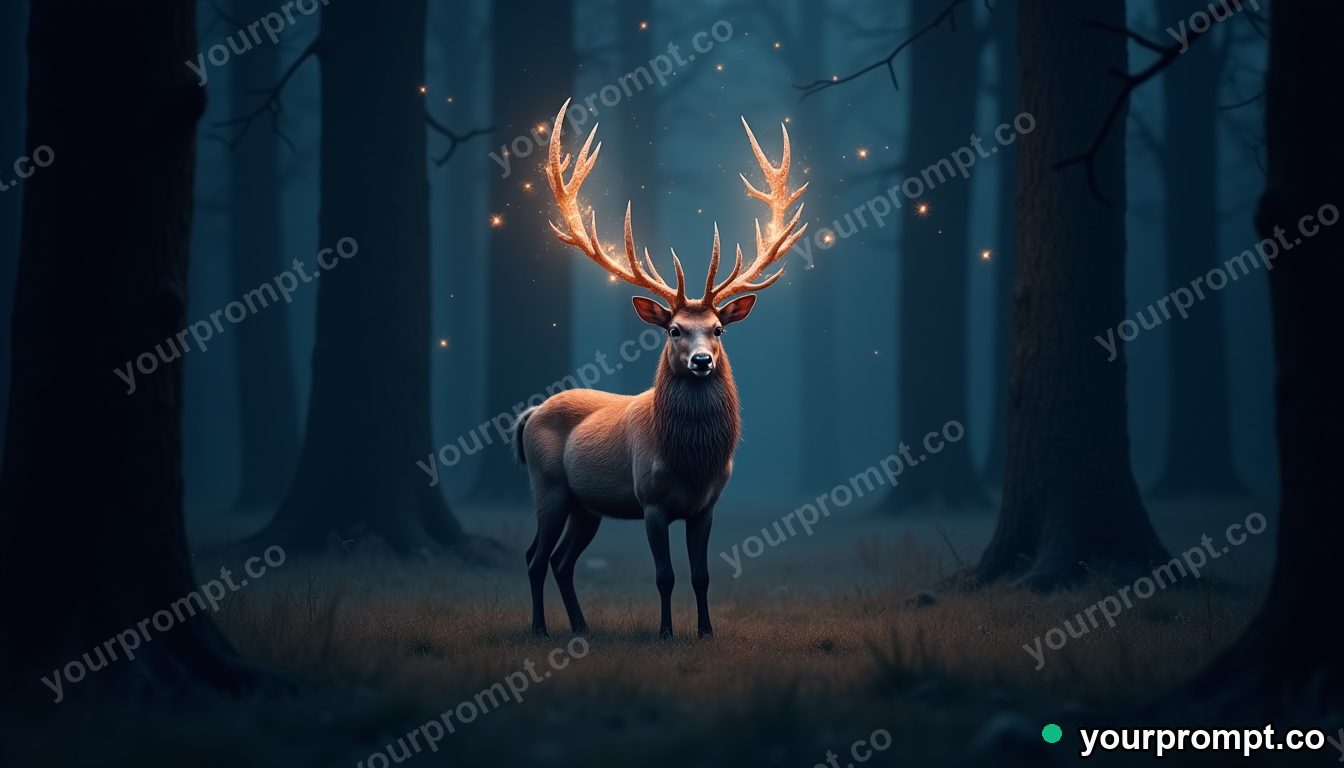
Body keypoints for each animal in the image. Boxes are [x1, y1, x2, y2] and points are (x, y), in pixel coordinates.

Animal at [512, 99, 808, 639]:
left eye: (718, 329)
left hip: (587, 506)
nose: (701, 360)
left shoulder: (706, 505)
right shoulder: (650, 501)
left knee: (563, 561)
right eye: (674, 330)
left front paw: (706, 631)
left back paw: (582, 627)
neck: (691, 460)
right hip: (548, 486)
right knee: (534, 557)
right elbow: (665, 575)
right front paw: (667, 632)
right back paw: (542, 628)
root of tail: (529, 415)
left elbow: (702, 573)